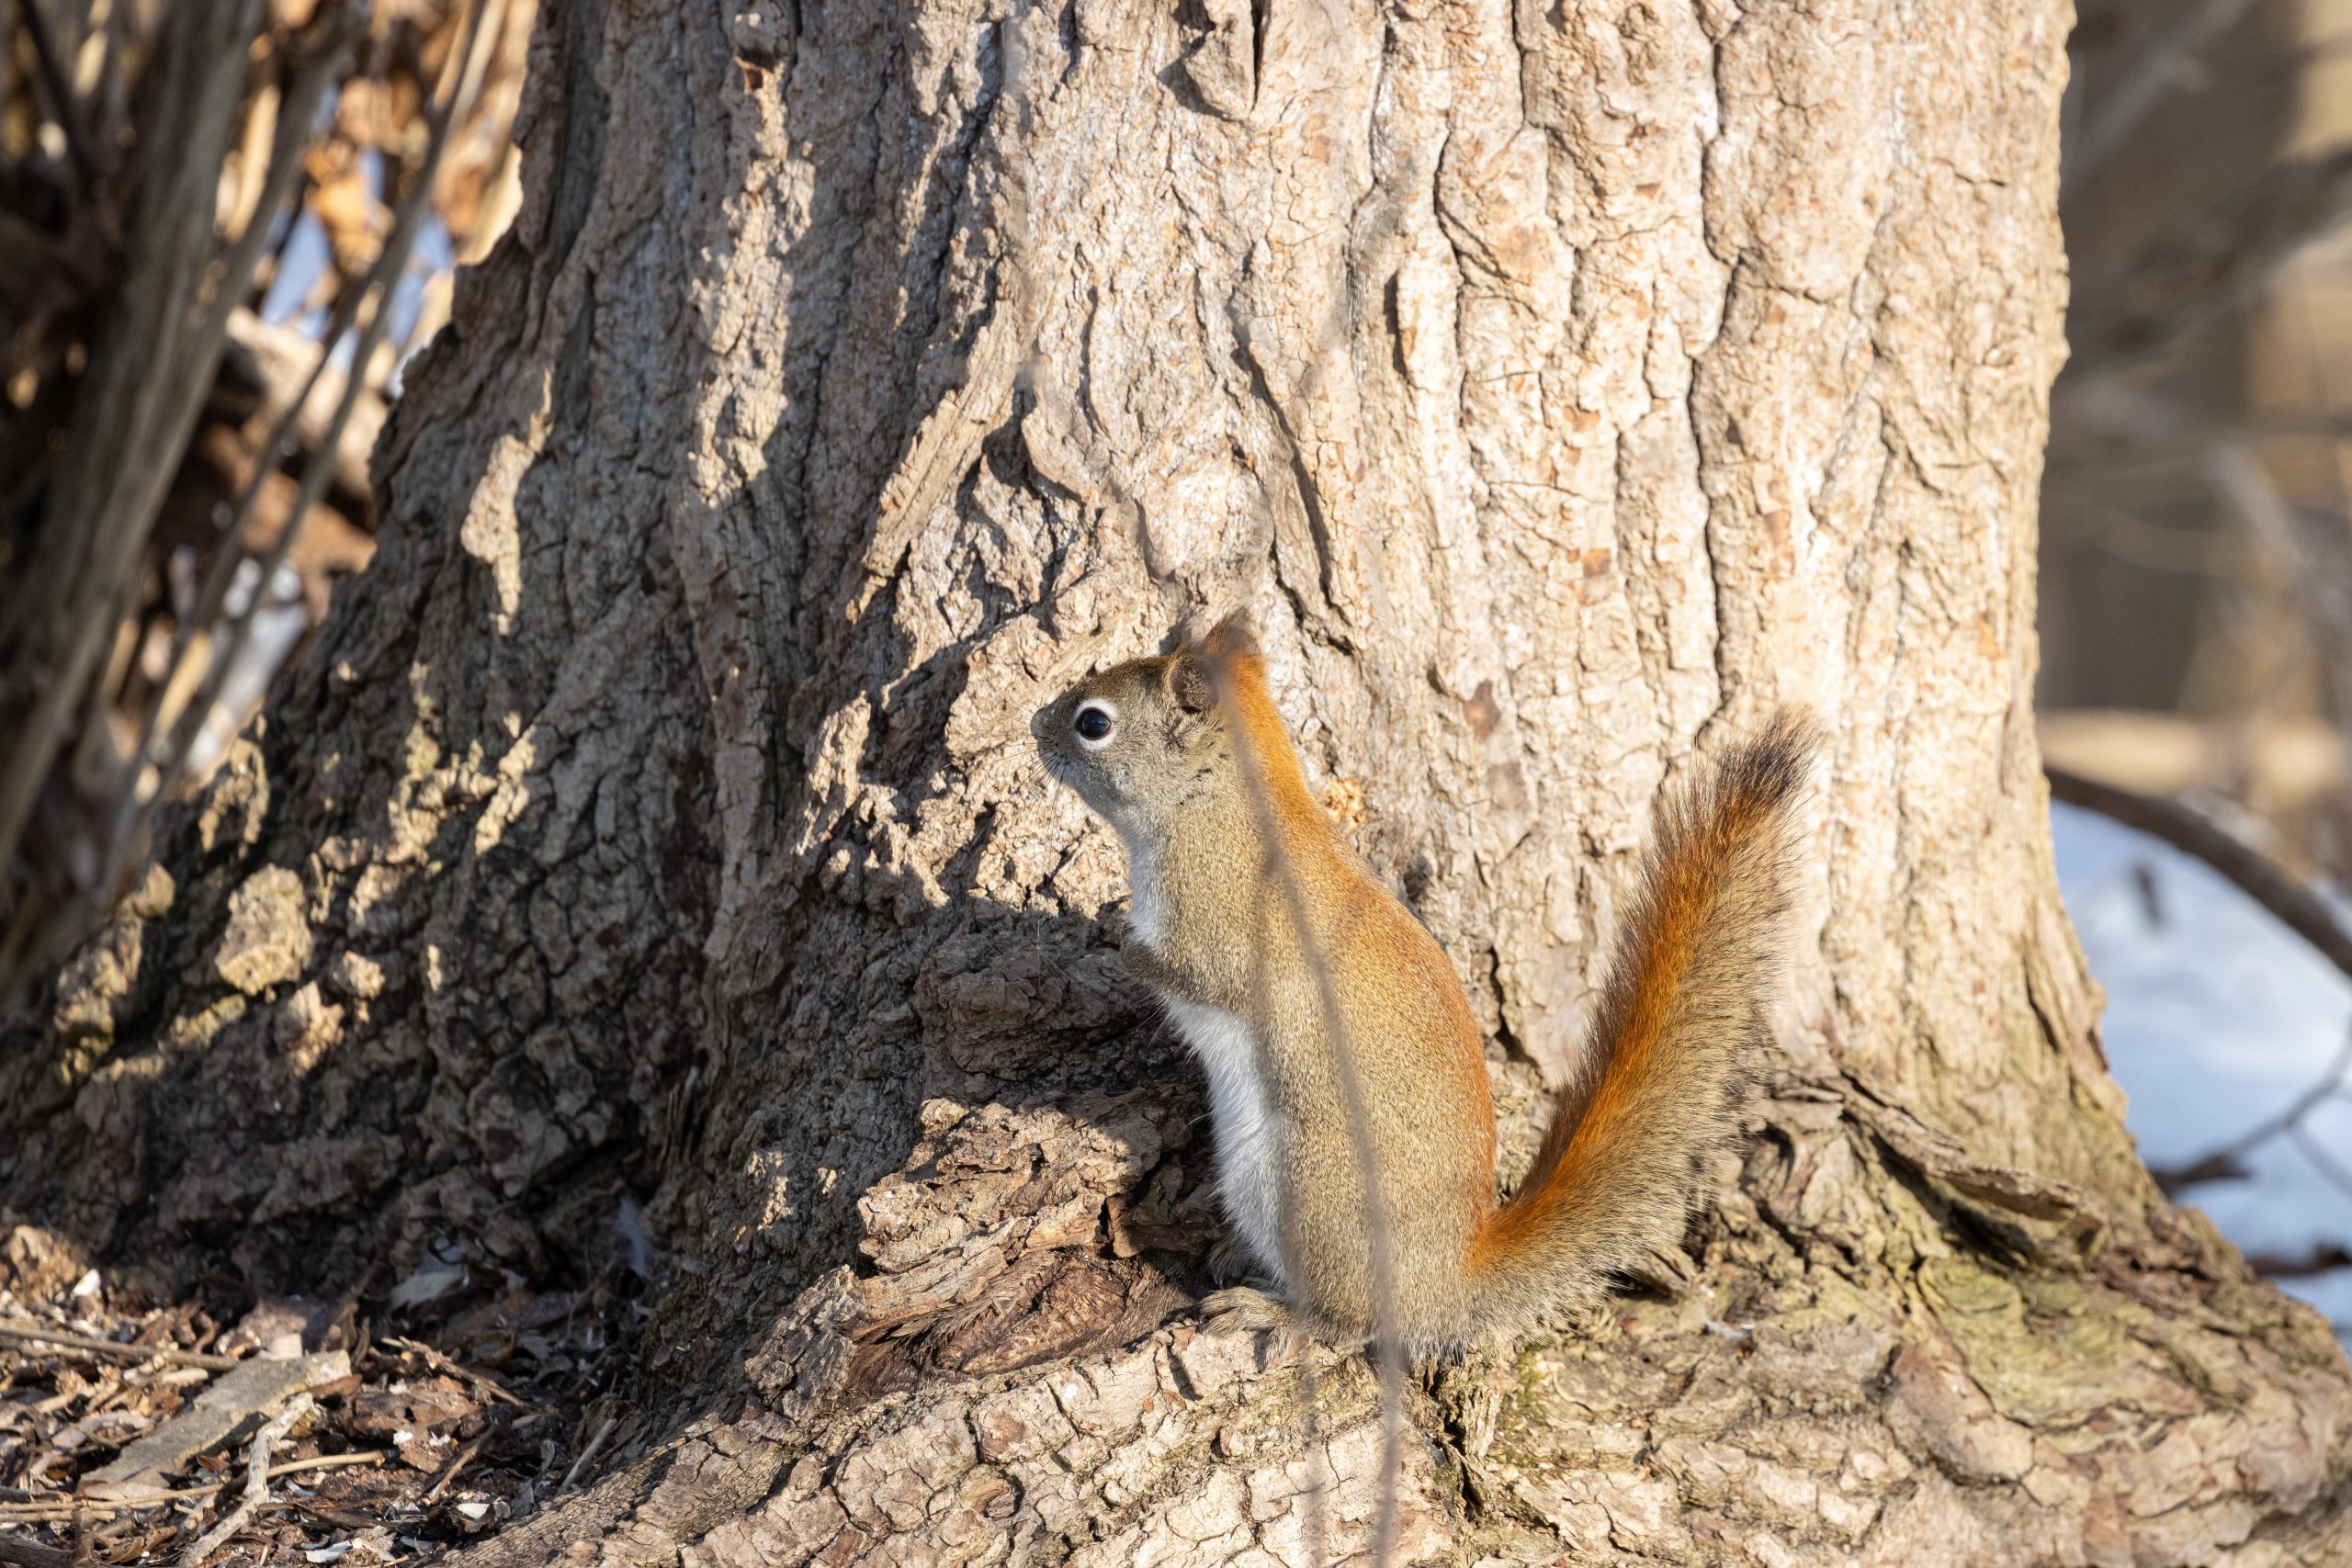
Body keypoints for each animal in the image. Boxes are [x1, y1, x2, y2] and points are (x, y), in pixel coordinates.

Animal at [1032, 613, 1813, 1353]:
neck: (1223, 803)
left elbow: (1186, 971)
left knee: (1352, 1322)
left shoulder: (1219, 919)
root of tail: (1447, 1278)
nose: (1036, 725)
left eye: (1094, 722)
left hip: (1305, 1190)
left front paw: (1113, 938)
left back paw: (1273, 1311)